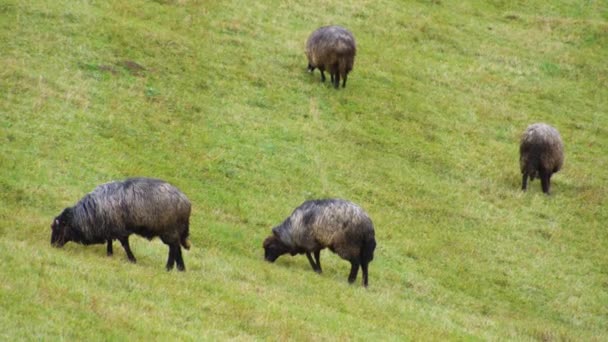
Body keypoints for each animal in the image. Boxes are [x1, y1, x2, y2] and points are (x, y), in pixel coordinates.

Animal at [51, 178, 191, 272]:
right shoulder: (110, 227)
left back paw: (169, 267)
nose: (52, 245)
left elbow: (125, 245)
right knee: (177, 247)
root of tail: (186, 202)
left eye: (58, 228)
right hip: (174, 231)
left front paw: (132, 259)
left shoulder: (120, 229)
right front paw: (110, 254)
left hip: (169, 230)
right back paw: (181, 268)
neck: (89, 215)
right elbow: (110, 241)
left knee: (173, 248)